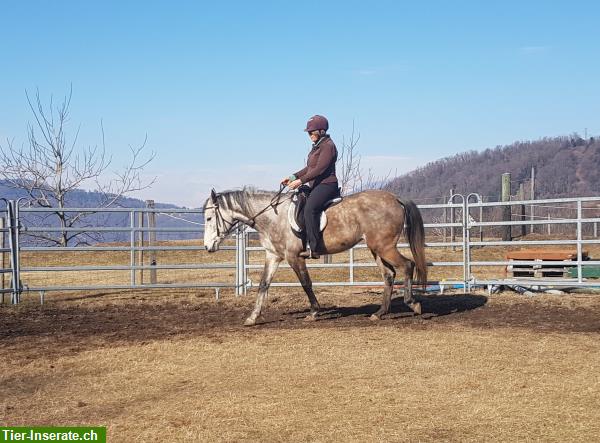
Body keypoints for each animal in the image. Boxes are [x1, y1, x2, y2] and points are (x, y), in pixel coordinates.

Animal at [204, 187, 428, 326]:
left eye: (208, 218)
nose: (207, 247)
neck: (273, 217)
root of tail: (395, 198)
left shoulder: (294, 257)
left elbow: (306, 284)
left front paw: (313, 312)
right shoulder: (273, 256)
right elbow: (263, 285)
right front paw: (252, 317)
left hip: (384, 247)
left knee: (407, 265)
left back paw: (413, 303)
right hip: (377, 249)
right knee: (389, 275)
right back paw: (379, 313)